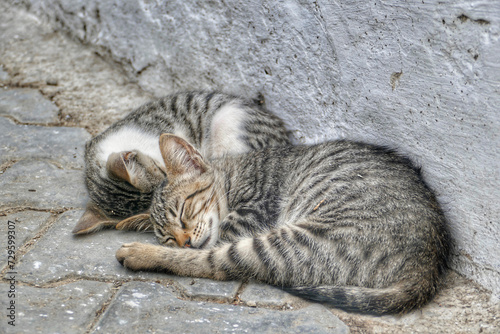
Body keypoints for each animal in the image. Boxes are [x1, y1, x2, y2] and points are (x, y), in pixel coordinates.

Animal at [116, 134, 450, 316]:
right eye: (168, 236)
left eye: (183, 212)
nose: (182, 241)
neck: (234, 176)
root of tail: (428, 265)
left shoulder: (251, 214)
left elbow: (210, 246)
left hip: (294, 240)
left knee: (213, 263)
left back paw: (138, 253)